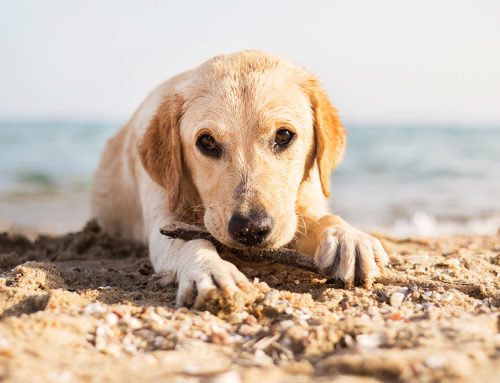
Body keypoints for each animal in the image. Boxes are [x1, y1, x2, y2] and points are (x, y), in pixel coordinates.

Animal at [92, 50, 388, 306]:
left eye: (284, 135)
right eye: (207, 142)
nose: (250, 229)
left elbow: (323, 218)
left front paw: (348, 238)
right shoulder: (163, 219)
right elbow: (191, 241)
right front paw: (210, 269)